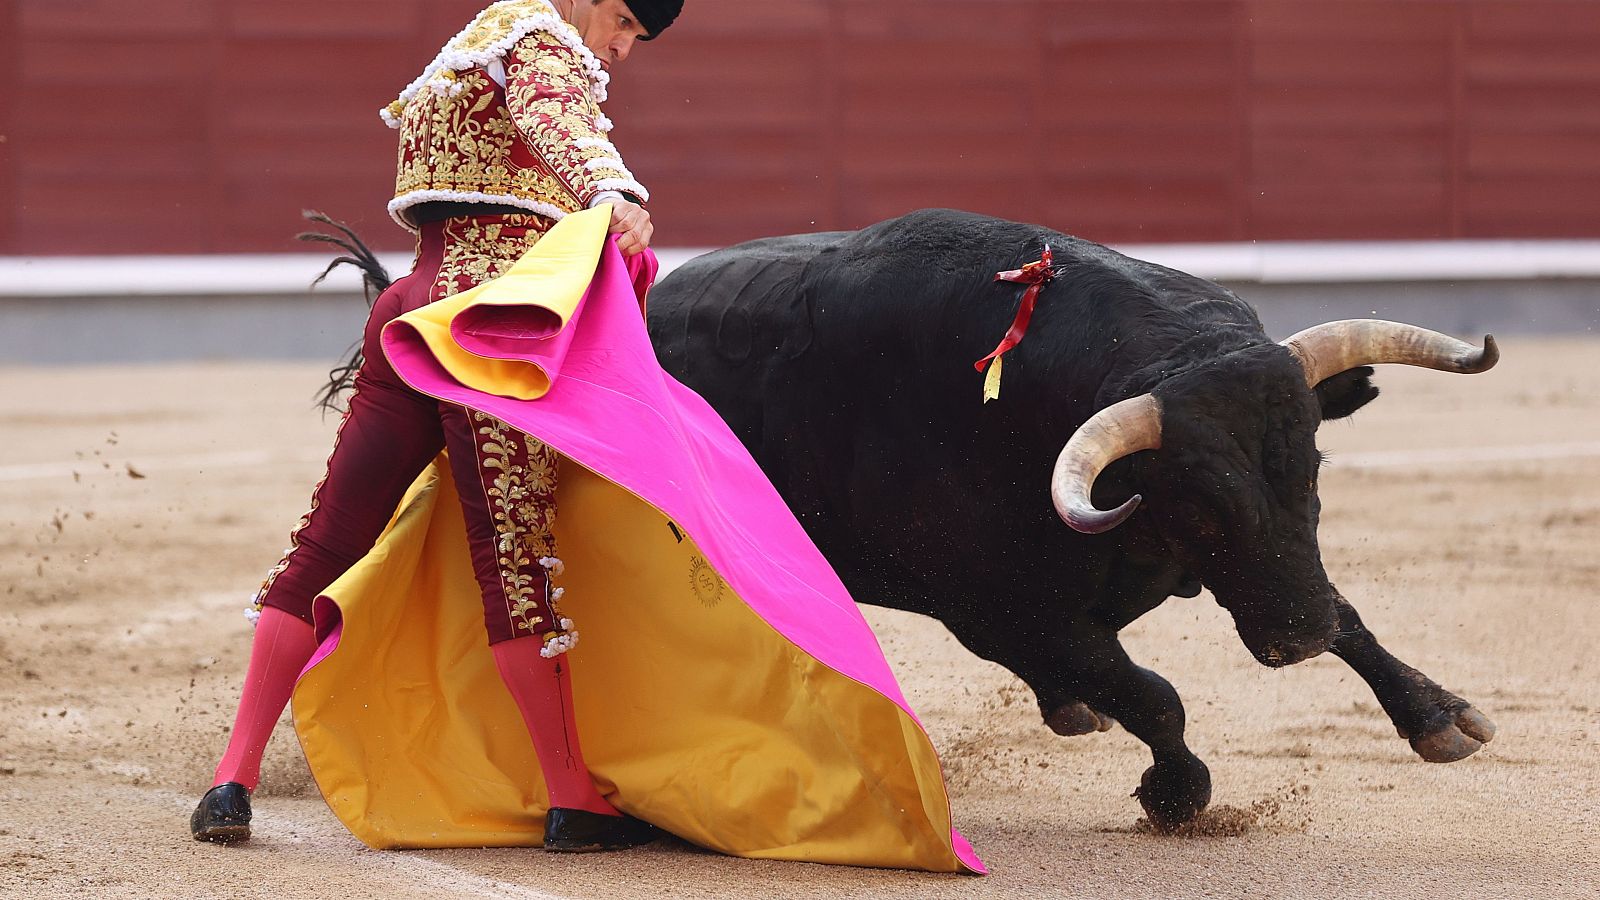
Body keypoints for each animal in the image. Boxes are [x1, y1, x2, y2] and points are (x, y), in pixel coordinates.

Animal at [646, 208, 1497, 826]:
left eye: (1312, 469)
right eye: (1199, 504)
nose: (1300, 639)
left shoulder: (1270, 570)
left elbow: (1347, 612)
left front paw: (1440, 717)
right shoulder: (1000, 612)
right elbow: (1154, 695)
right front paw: (1175, 796)